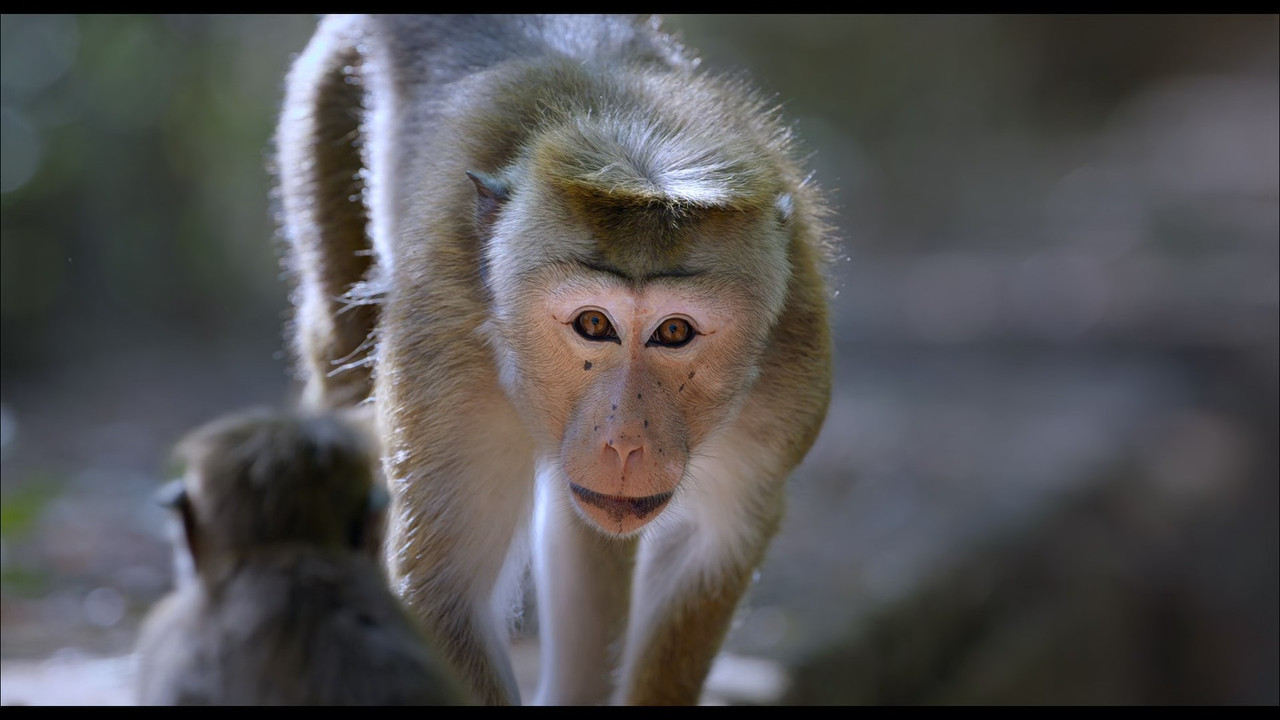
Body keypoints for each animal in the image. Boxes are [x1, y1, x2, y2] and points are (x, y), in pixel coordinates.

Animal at [275, 14, 834, 705]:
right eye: (593, 325)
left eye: (675, 332)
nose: (626, 442)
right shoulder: (445, 339)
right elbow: (448, 590)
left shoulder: (789, 363)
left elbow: (702, 547)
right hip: (325, 107)